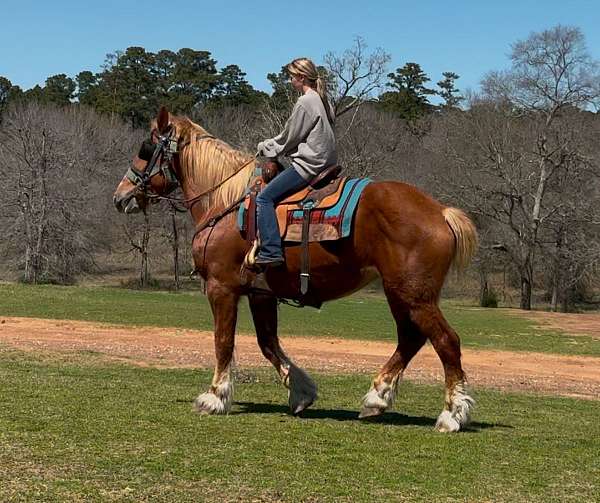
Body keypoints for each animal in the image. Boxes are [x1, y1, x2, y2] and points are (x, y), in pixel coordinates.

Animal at [112, 106, 478, 434]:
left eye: (146, 149)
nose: (121, 196)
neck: (225, 201)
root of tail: (440, 211)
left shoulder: (221, 288)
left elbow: (223, 341)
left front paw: (214, 397)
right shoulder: (260, 293)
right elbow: (268, 343)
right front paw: (301, 392)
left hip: (414, 295)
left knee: (446, 341)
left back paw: (451, 415)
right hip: (400, 294)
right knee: (410, 339)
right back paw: (377, 397)